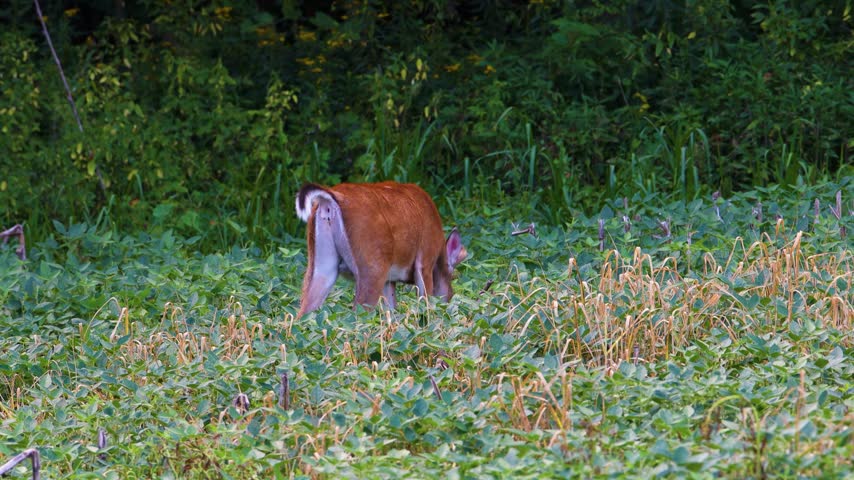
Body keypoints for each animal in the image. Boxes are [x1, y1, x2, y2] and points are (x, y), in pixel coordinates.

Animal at [294, 182, 467, 318]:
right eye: (452, 278)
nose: (448, 301)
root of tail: (328, 201)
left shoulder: (389, 279)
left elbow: (391, 310)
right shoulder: (425, 259)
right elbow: (425, 302)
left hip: (322, 265)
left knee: (302, 312)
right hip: (373, 266)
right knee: (358, 313)